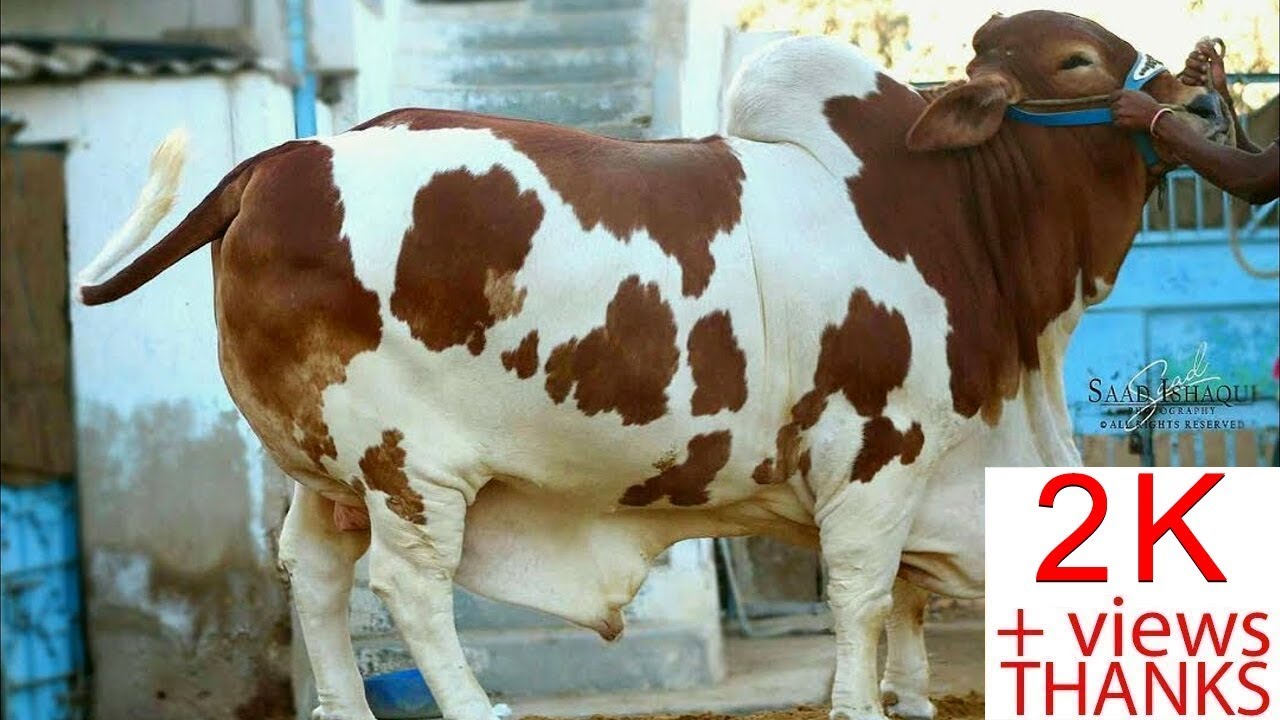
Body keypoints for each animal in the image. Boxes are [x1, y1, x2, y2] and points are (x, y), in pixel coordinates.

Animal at [76, 11, 1231, 720]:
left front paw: (906, 693)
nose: (1201, 93)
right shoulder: (875, 453)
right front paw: (864, 701)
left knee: (313, 576)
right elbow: (864, 594)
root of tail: (271, 165)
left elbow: (907, 596)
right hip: (408, 466)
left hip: (328, 472)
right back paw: (474, 704)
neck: (960, 221)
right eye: (1076, 62)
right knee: (409, 588)